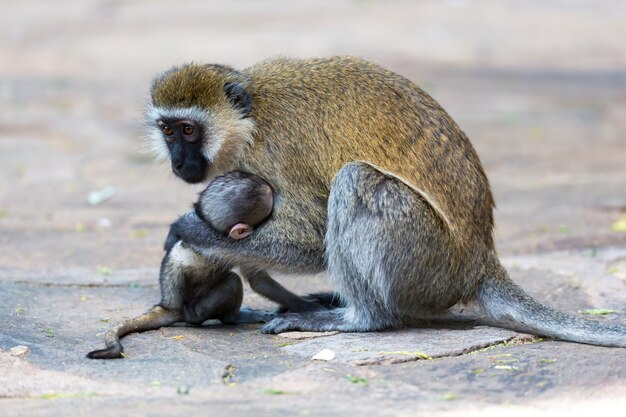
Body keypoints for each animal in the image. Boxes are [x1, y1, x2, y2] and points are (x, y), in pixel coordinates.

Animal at [88, 171, 312, 360]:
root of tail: (168, 304)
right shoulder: (235, 247)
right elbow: (259, 282)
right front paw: (309, 307)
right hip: (196, 311)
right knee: (232, 281)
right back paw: (234, 317)